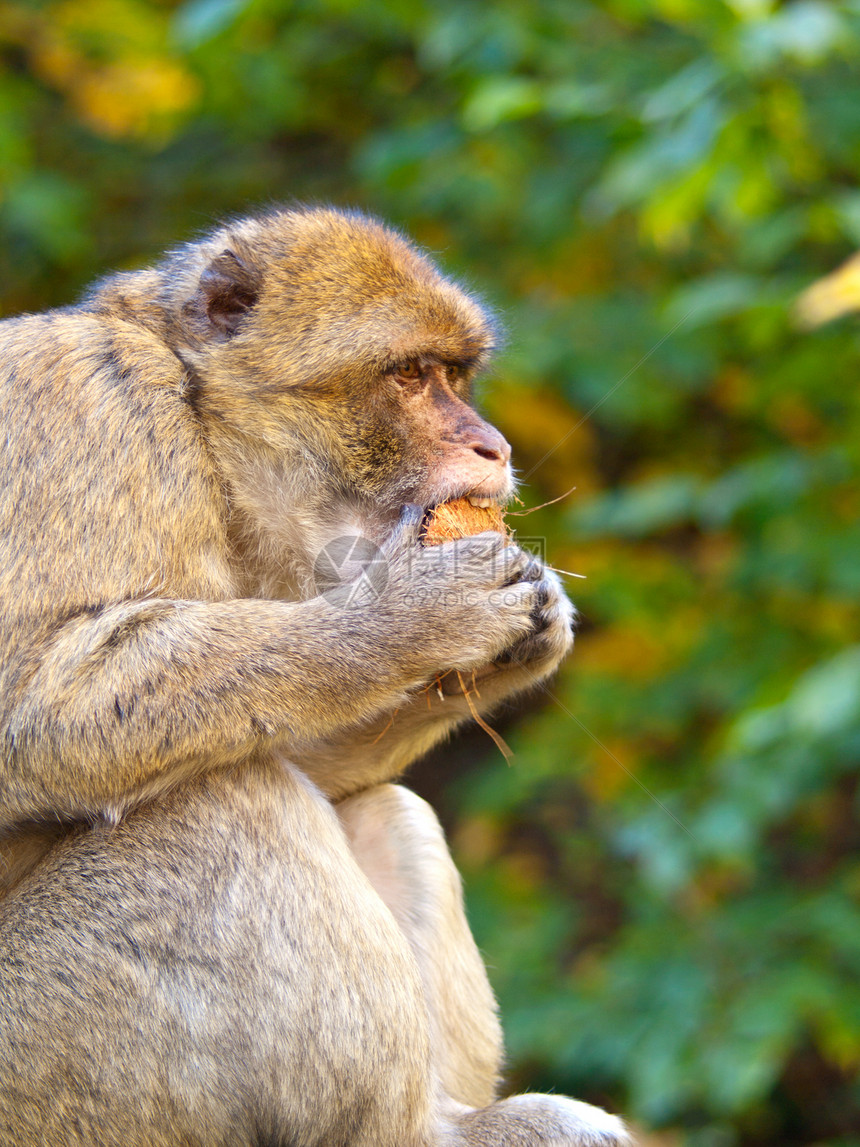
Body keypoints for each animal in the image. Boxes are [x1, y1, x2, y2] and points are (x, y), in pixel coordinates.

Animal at [0, 208, 628, 1147]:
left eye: (454, 375)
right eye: (409, 376)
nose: (494, 444)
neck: (197, 431)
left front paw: (526, 628)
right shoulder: (84, 400)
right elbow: (40, 710)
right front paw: (411, 615)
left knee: (376, 807)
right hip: (55, 1068)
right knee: (223, 805)